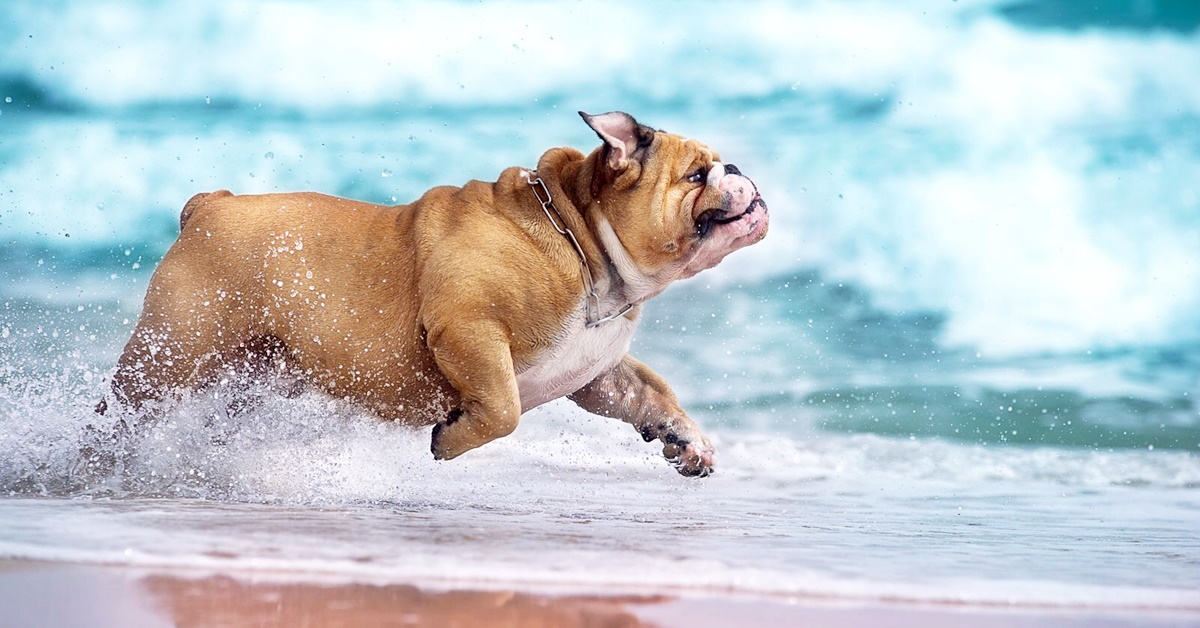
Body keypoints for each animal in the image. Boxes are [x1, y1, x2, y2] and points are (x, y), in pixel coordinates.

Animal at [98, 112, 763, 477]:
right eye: (696, 175)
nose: (739, 174)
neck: (580, 238)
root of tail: (211, 205)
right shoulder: (467, 328)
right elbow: (502, 409)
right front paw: (450, 441)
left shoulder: (595, 371)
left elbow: (651, 392)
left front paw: (688, 442)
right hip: (166, 363)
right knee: (118, 418)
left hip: (247, 377)